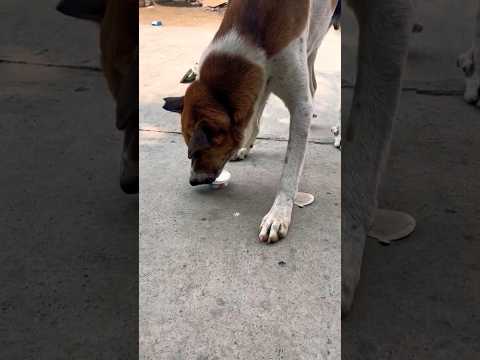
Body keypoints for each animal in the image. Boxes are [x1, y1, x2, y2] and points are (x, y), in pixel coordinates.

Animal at [169, 0, 338, 242]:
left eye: (197, 152)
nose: (192, 181)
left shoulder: (299, 104)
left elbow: (289, 169)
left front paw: (278, 214)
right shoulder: (261, 83)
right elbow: (253, 117)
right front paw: (244, 146)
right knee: (312, 83)